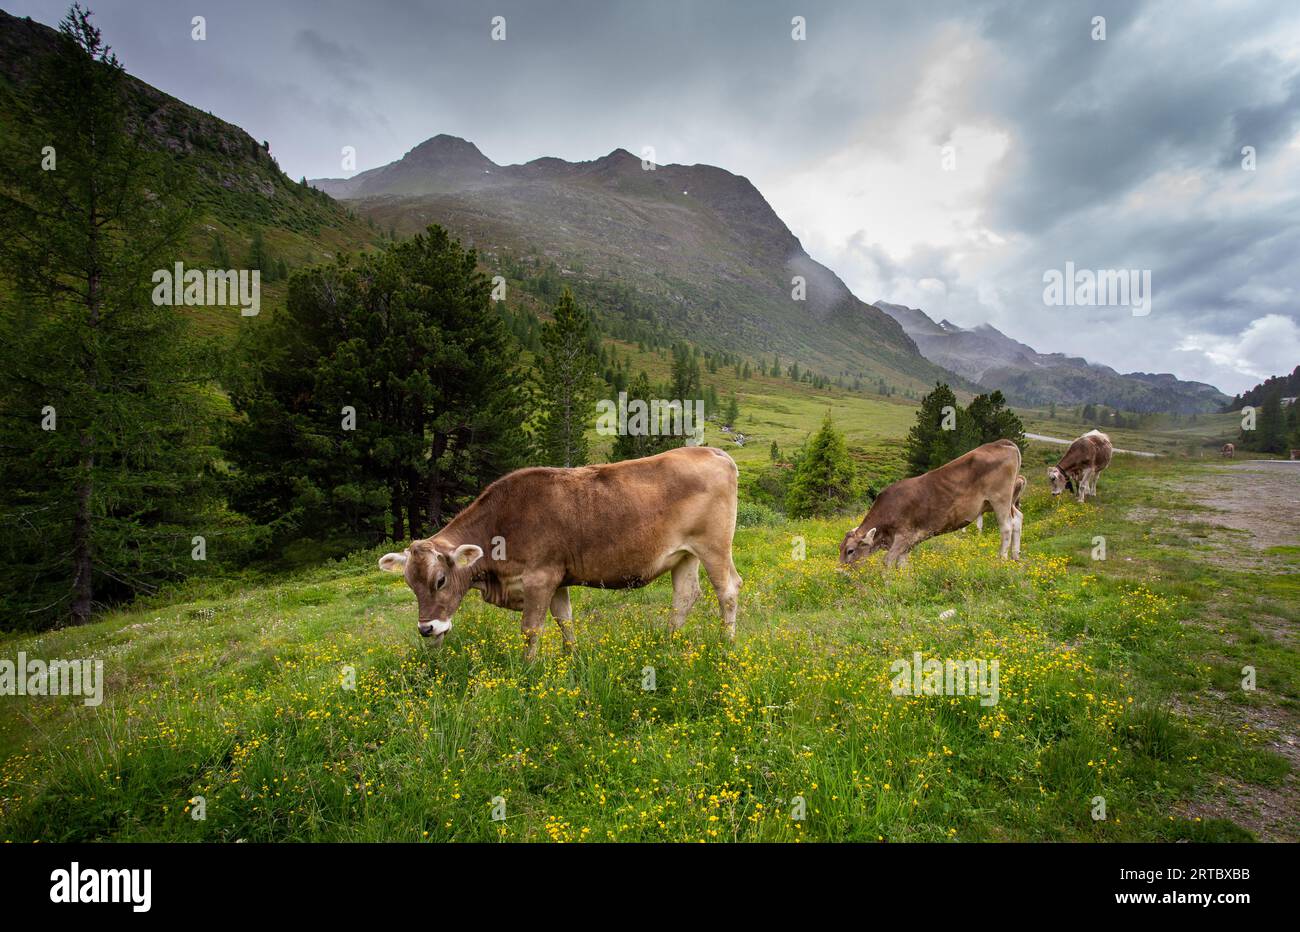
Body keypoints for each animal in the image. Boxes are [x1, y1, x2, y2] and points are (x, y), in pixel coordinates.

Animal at [377, 444, 743, 657]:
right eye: (410, 584)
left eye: (440, 580)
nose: (426, 629)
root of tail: (713, 451)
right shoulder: (557, 580)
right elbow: (564, 621)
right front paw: (571, 659)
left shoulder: (539, 578)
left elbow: (530, 630)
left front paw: (527, 670)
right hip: (684, 554)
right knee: (685, 595)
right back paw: (667, 643)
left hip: (714, 546)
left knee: (727, 590)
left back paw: (726, 645)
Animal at [842, 439, 1024, 566]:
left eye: (850, 551)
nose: (841, 571)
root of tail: (1000, 443)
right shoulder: (909, 543)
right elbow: (902, 564)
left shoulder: (903, 537)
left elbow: (887, 562)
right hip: (1008, 502)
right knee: (1018, 519)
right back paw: (1015, 556)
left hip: (1000, 499)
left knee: (1006, 527)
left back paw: (1001, 559)